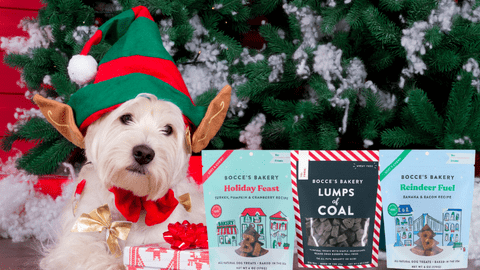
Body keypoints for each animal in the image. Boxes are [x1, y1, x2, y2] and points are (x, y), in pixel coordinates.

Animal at [39, 93, 206, 270]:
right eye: (126, 118)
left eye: (168, 129)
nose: (144, 154)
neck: (131, 200)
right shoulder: (76, 242)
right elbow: (94, 257)